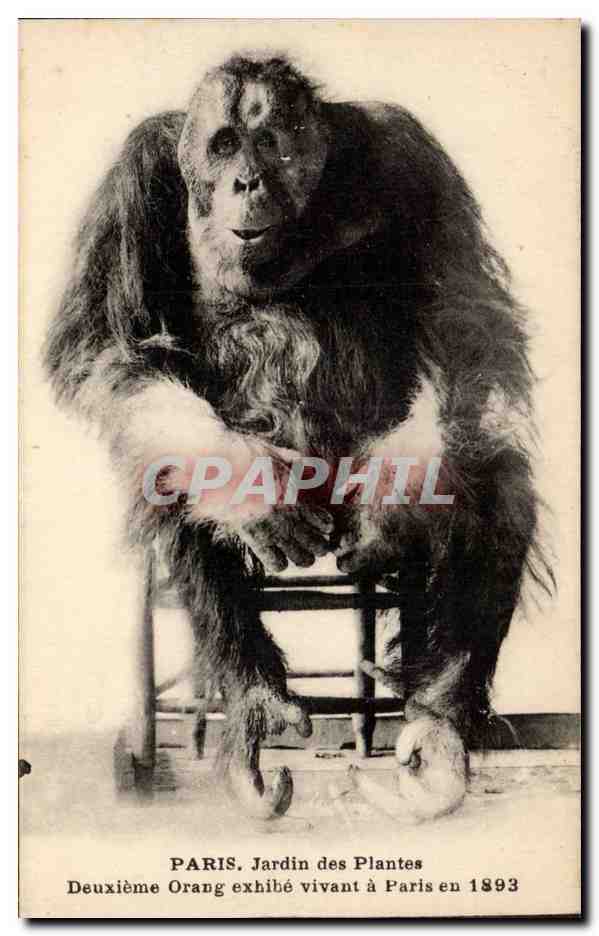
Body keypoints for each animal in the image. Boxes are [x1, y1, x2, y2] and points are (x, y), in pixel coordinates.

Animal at [44, 53, 550, 820]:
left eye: (271, 144)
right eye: (224, 144)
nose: (246, 181)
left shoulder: (410, 153)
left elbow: (466, 315)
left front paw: (402, 488)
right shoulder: (132, 177)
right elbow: (109, 343)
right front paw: (248, 492)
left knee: (492, 466)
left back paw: (434, 724)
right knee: (170, 467)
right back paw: (257, 705)